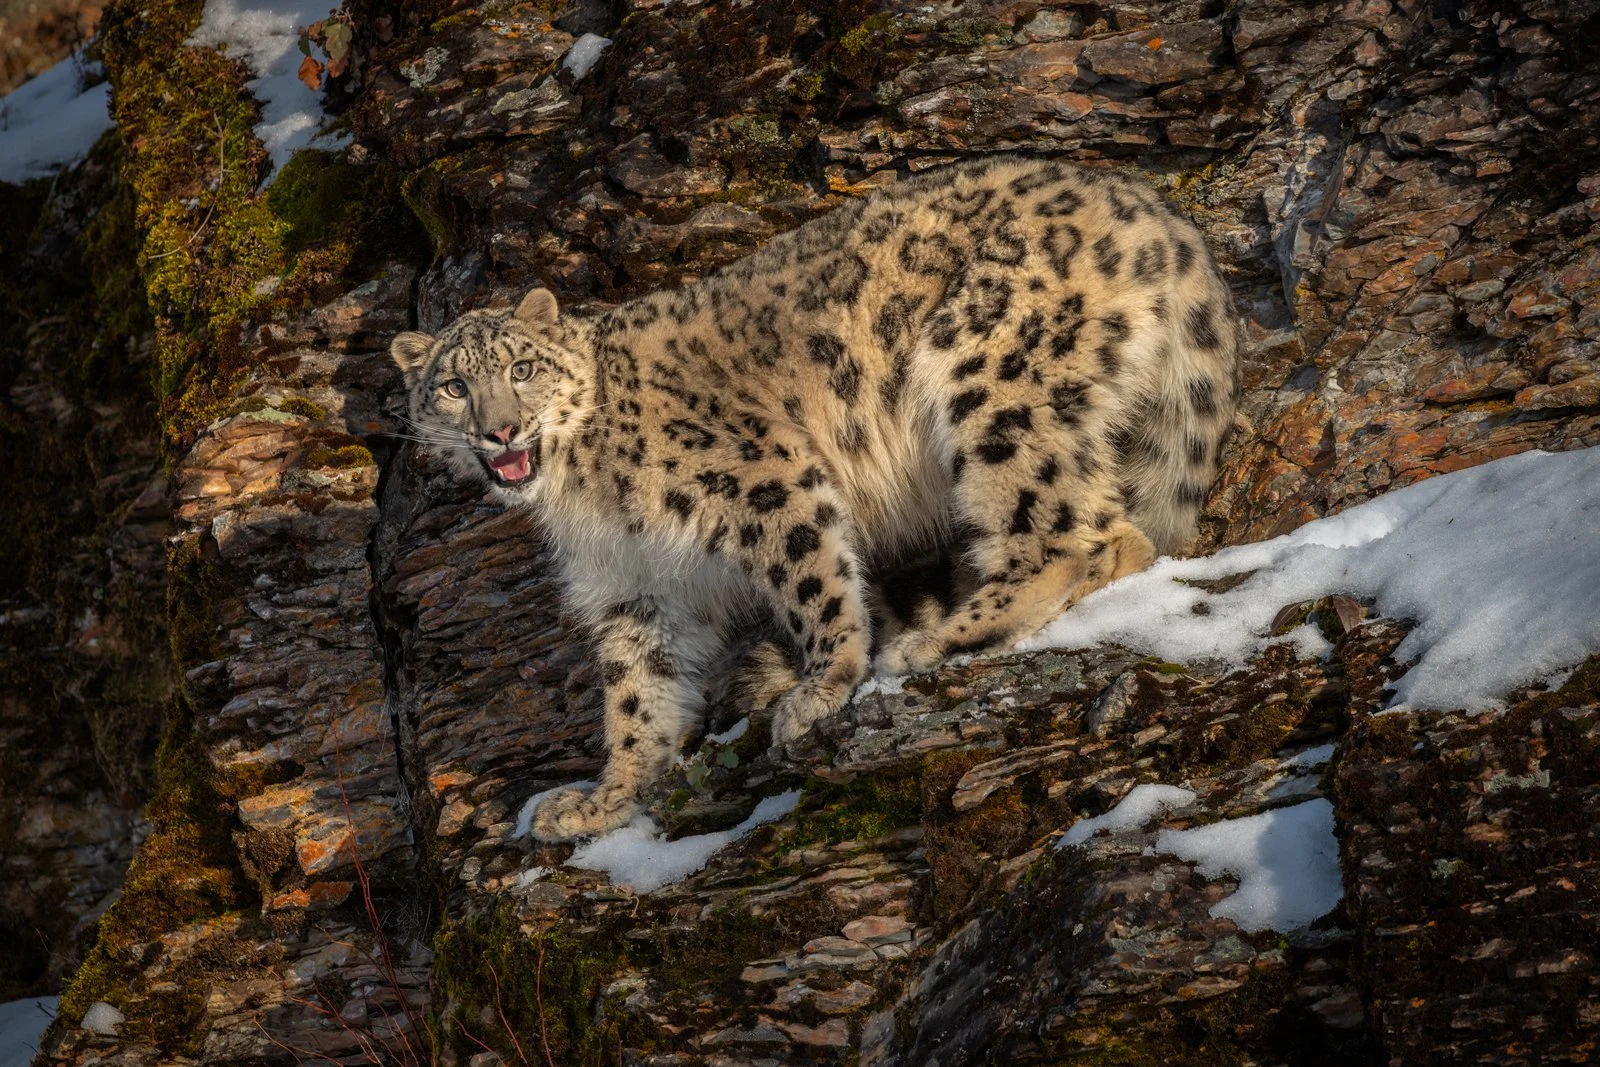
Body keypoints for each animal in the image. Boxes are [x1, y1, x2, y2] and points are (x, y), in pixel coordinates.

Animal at [389, 156, 1240, 841]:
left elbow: (814, 581)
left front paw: (823, 686)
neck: (585, 495)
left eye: (522, 368)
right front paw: (607, 798)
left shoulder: (763, 478)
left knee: (1077, 531)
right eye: (454, 385)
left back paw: (939, 637)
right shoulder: (637, 589)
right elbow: (637, 694)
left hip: (993, 375)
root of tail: (1152, 208)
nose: (500, 430)